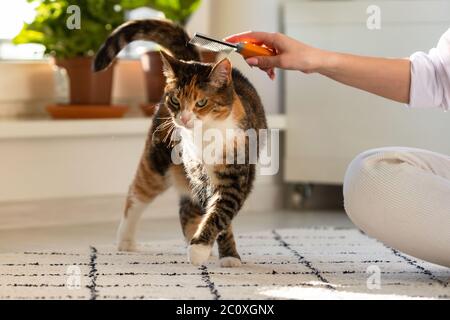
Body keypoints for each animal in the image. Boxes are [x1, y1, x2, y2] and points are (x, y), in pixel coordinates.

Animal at [92, 18, 266, 266]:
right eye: (175, 99)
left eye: (201, 102)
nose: (183, 118)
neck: (204, 136)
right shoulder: (199, 176)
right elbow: (218, 215)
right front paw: (206, 249)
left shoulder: (236, 176)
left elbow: (220, 213)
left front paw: (219, 253)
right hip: (158, 161)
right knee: (137, 193)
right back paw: (125, 240)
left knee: (186, 209)